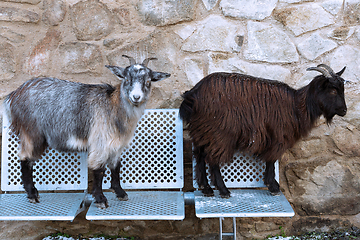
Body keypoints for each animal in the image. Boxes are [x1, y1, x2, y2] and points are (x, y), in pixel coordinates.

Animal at [3, 54, 171, 208]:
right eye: (127, 79)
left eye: (148, 81)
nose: (136, 97)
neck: (113, 106)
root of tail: (13, 96)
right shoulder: (100, 141)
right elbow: (99, 170)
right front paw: (101, 199)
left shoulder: (116, 144)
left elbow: (116, 166)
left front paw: (120, 193)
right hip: (31, 131)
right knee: (26, 159)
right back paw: (32, 194)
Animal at [181, 63, 348, 197]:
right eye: (333, 91)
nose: (344, 111)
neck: (297, 106)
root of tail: (193, 94)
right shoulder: (278, 136)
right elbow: (271, 159)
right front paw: (272, 186)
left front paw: (271, 183)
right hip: (219, 133)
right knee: (213, 159)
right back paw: (223, 190)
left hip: (202, 131)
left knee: (200, 156)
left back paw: (206, 188)